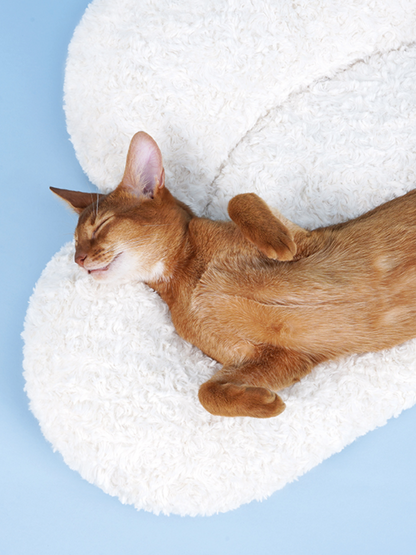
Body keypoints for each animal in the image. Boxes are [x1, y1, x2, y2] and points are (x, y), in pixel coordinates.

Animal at [52, 131, 416, 416]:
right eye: (76, 241)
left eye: (101, 225)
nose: (78, 259)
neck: (188, 276)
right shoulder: (283, 357)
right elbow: (206, 393)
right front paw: (267, 404)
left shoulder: (307, 239)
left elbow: (239, 198)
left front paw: (276, 242)